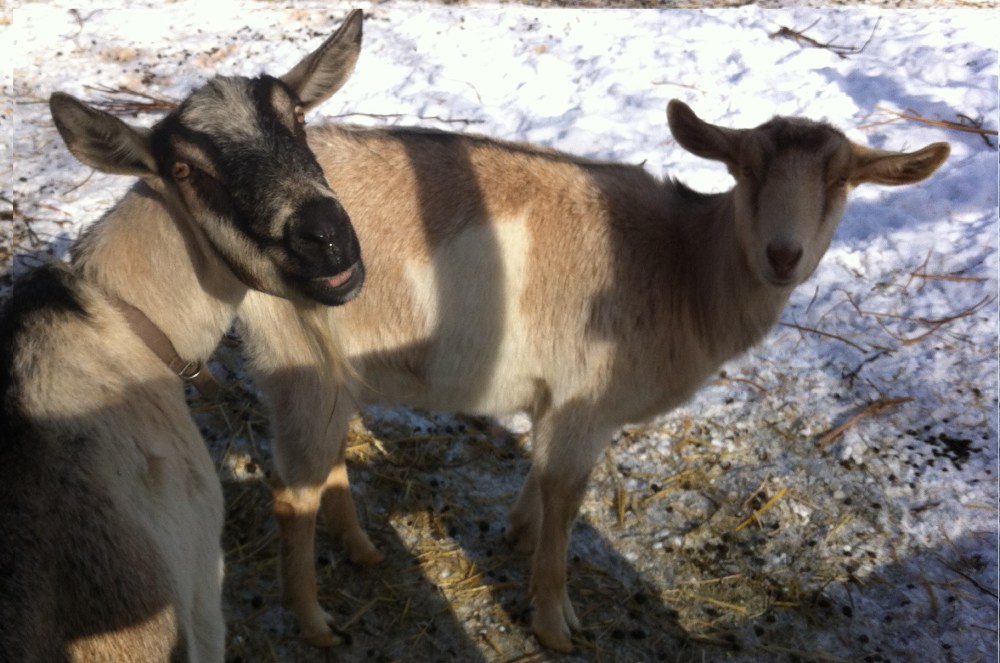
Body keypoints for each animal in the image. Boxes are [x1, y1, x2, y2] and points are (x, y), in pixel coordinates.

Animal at [262, 101, 944, 650]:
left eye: (841, 179)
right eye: (745, 169)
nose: (783, 255)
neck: (684, 268)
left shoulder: (560, 404)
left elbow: (544, 485)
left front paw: (519, 534)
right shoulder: (583, 403)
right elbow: (567, 501)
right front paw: (555, 623)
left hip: (336, 372)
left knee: (329, 460)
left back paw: (363, 550)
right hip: (301, 356)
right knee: (292, 494)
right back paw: (316, 623)